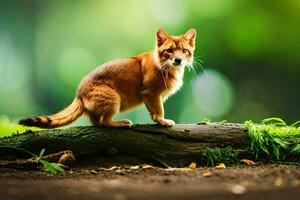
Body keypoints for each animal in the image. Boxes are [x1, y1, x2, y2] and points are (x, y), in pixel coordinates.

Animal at [19, 27, 197, 127]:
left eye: (184, 50)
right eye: (169, 50)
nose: (178, 60)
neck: (166, 66)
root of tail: (79, 93)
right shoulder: (151, 93)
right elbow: (158, 110)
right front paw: (162, 121)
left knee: (97, 123)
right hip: (113, 97)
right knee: (104, 123)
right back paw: (121, 123)